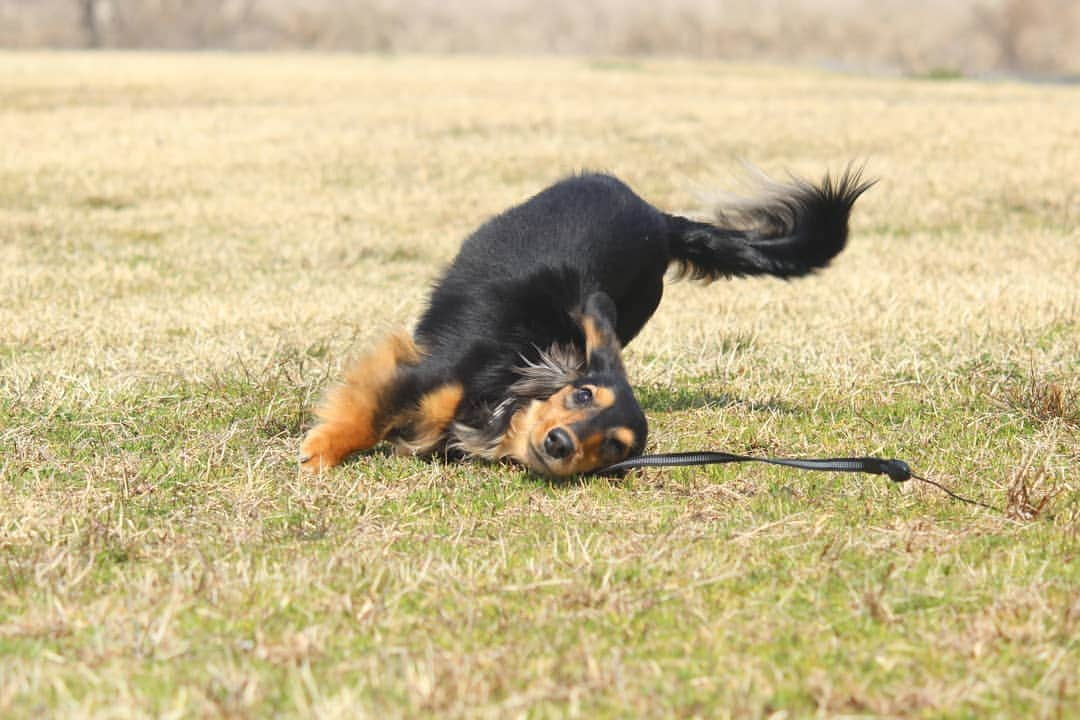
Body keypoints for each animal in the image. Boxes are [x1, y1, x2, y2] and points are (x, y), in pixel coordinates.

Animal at [300, 169, 872, 479]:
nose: (560, 443)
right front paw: (320, 454)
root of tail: (662, 221)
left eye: (613, 447)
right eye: (581, 395)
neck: (500, 391)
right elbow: (367, 415)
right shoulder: (427, 373)